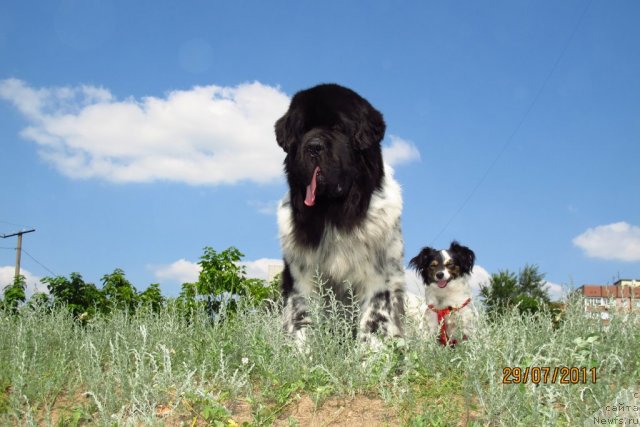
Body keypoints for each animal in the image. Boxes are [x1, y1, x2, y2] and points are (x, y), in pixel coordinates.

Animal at [276, 83, 404, 348]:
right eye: (302, 130)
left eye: (337, 128)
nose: (313, 146)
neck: (332, 214)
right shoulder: (302, 277)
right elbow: (301, 317)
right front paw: (301, 352)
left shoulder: (378, 277)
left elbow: (373, 320)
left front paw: (371, 354)